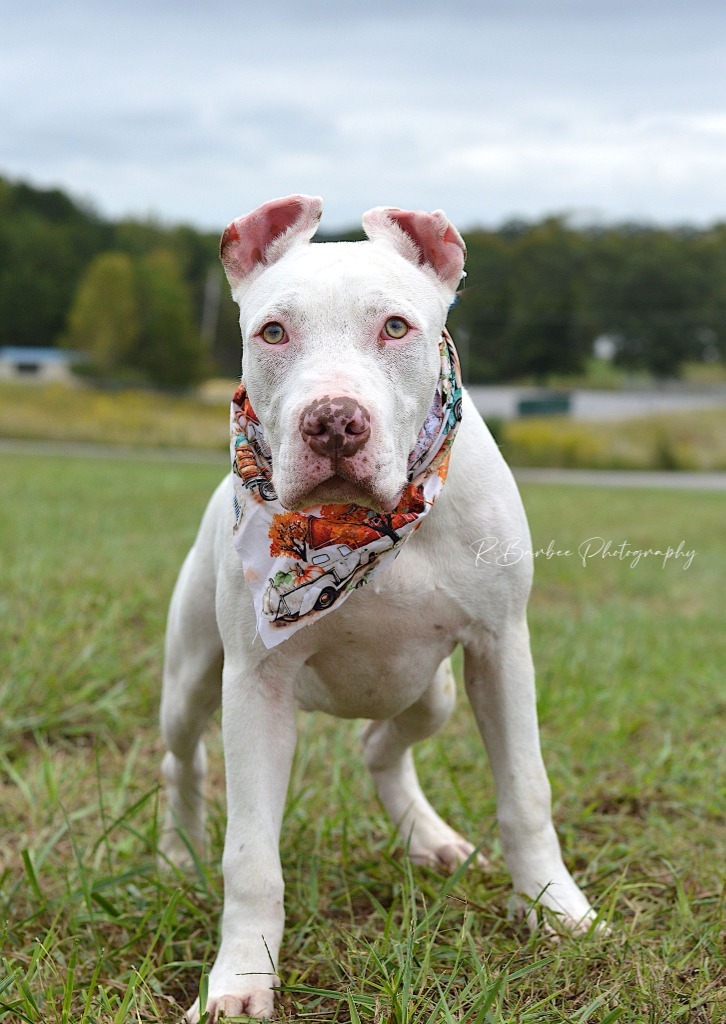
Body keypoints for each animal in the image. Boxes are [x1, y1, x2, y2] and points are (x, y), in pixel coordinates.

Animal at [161, 195, 598, 1019]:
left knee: (379, 745)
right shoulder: (255, 685)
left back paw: (429, 838)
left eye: (395, 327)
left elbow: (526, 791)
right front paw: (240, 980)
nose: (334, 420)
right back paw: (176, 852)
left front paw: (556, 909)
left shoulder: (500, 649)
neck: (360, 525)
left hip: (436, 690)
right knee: (183, 758)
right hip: (192, 676)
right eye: (273, 332)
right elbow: (251, 854)